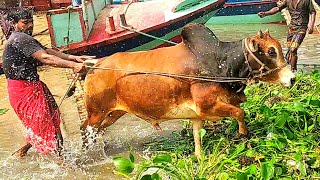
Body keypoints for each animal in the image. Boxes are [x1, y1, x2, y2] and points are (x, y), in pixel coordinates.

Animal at [82, 23, 296, 156]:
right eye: (271, 51)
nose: (292, 78)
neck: (221, 63)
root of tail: (95, 65)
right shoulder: (207, 106)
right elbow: (239, 112)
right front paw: (243, 133)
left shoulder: (197, 116)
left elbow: (198, 143)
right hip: (96, 113)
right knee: (85, 131)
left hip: (113, 113)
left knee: (98, 131)